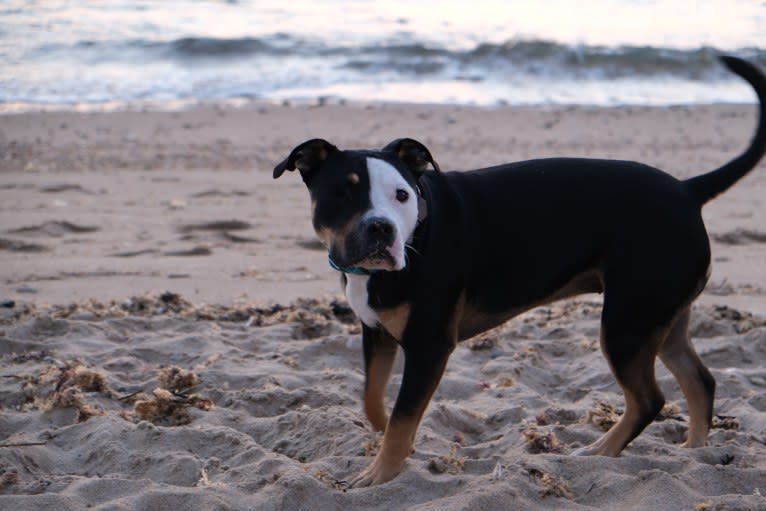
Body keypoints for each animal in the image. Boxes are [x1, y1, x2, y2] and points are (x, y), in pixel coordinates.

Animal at [272, 56, 764, 488]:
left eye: (401, 195)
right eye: (343, 193)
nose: (381, 227)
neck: (416, 233)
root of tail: (686, 190)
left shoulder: (430, 345)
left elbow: (402, 417)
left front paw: (382, 472)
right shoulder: (375, 332)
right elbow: (375, 399)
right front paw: (377, 436)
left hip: (627, 324)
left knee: (650, 399)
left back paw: (602, 451)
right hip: (661, 316)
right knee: (699, 380)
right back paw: (695, 452)